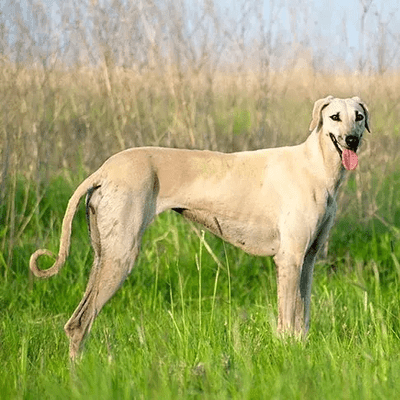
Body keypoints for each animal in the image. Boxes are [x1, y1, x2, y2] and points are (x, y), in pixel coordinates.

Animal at [29, 96, 370, 360]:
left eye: (359, 116)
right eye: (334, 117)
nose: (352, 140)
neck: (316, 166)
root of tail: (103, 170)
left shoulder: (308, 260)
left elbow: (303, 316)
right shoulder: (289, 260)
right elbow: (287, 320)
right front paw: (288, 354)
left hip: (104, 255)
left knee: (77, 321)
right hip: (121, 257)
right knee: (79, 323)